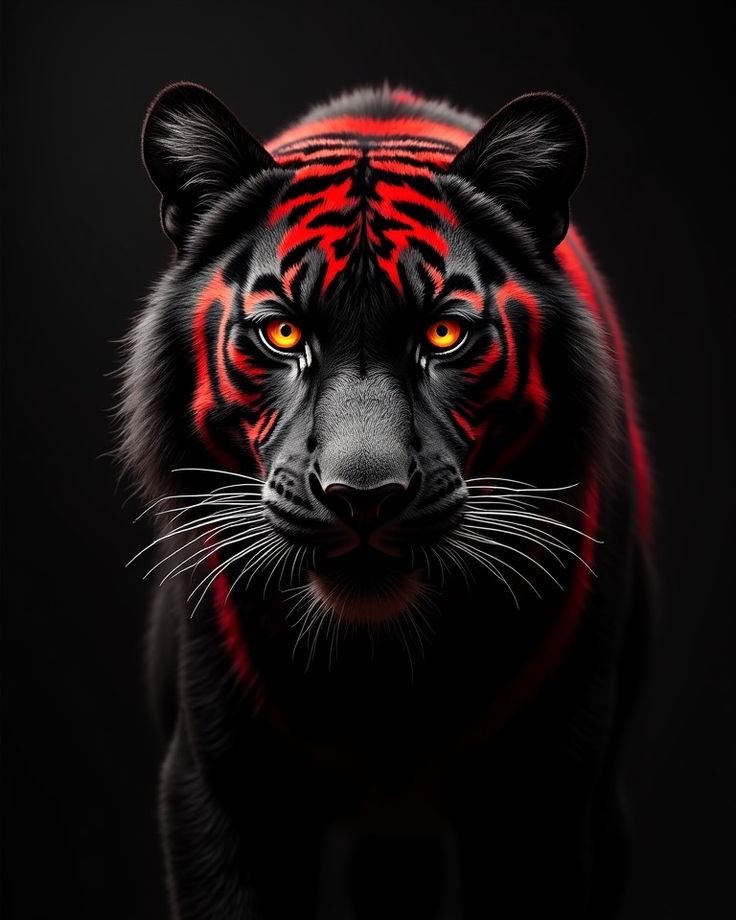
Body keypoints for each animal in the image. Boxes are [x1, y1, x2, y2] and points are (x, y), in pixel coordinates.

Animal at [119, 81, 653, 919]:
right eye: (281, 333)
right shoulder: (222, 786)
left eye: (443, 335)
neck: (383, 681)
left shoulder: (554, 797)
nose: (363, 496)